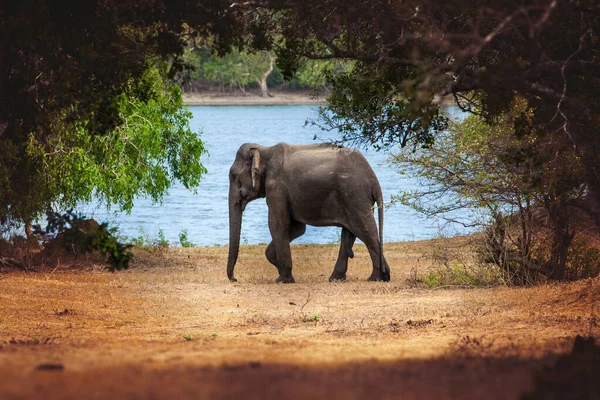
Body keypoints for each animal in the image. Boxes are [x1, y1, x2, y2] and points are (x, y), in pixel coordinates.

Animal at [225, 142, 390, 282]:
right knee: (350, 232)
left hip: (354, 194)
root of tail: (374, 180)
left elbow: (277, 224)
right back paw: (339, 278)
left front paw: (283, 280)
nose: (235, 279)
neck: (265, 149)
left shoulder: (276, 188)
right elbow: (296, 228)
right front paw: (280, 269)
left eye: (233, 175)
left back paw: (376, 278)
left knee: (365, 230)